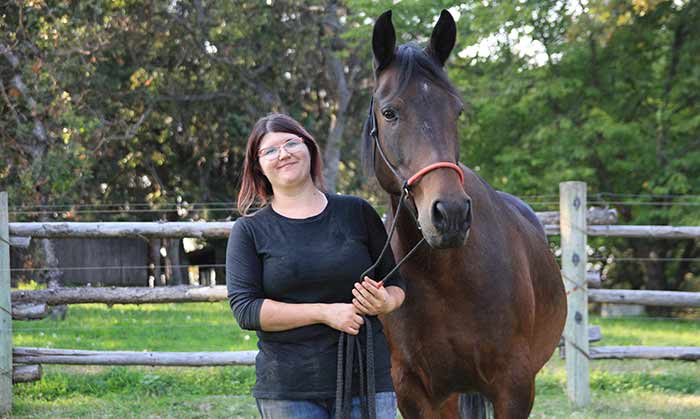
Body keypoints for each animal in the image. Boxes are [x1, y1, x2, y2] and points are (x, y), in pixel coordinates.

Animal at [366, 9, 568, 419]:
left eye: (456, 110)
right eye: (389, 112)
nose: (452, 214)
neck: (446, 276)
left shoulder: (514, 387)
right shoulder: (413, 391)